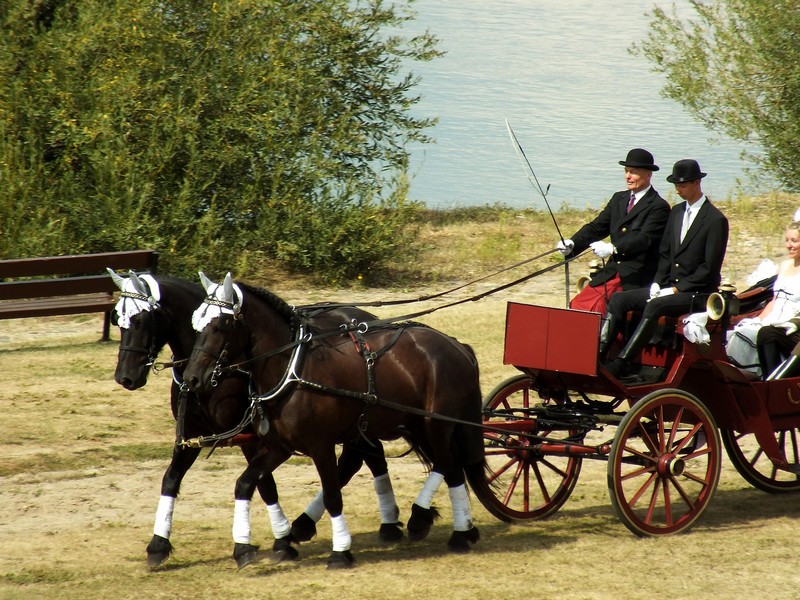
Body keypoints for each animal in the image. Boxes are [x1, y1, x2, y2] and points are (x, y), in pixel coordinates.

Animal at [107, 270, 402, 569]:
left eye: (141, 320)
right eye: (118, 319)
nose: (125, 377)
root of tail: (365, 317)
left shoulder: (251, 438)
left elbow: (264, 484)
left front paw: (271, 542)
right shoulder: (190, 436)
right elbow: (170, 479)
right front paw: (158, 544)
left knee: (357, 460)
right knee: (369, 457)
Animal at [183, 273, 486, 568]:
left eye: (222, 324)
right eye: (196, 324)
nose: (191, 378)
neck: (292, 369)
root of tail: (457, 345)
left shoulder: (321, 446)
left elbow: (332, 495)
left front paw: (340, 552)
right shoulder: (277, 447)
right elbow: (245, 483)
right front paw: (244, 548)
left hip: (436, 425)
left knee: (449, 464)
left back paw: (441, 526)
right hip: (417, 424)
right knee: (449, 465)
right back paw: (455, 529)